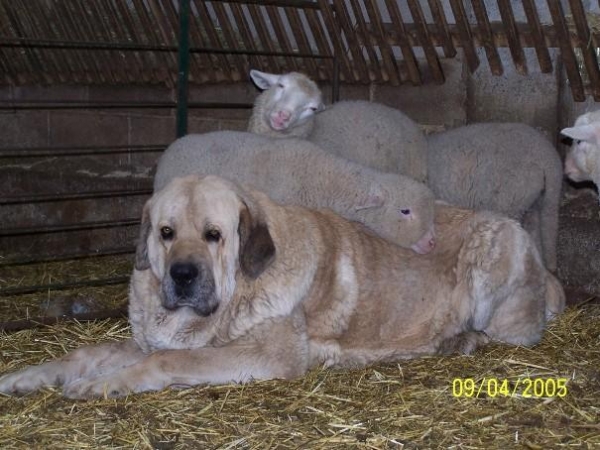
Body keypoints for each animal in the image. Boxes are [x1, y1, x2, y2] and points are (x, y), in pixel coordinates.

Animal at [0, 175, 564, 398]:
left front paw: (102, 385)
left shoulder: (264, 354)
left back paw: (459, 340)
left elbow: (167, 360)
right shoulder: (146, 337)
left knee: (505, 333)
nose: (183, 275)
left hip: (494, 253)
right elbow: (86, 353)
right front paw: (27, 376)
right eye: (166, 233)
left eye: (214, 235)